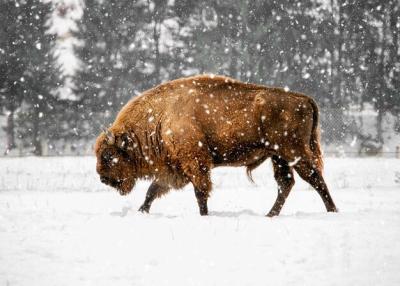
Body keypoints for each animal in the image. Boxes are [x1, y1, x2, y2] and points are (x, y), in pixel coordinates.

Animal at [96, 75, 338, 216]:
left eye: (108, 155)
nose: (102, 178)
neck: (160, 116)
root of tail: (303, 98)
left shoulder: (195, 163)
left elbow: (200, 191)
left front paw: (204, 215)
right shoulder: (173, 169)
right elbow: (152, 191)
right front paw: (141, 211)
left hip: (293, 152)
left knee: (314, 179)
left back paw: (332, 211)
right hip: (278, 157)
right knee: (286, 183)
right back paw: (270, 215)